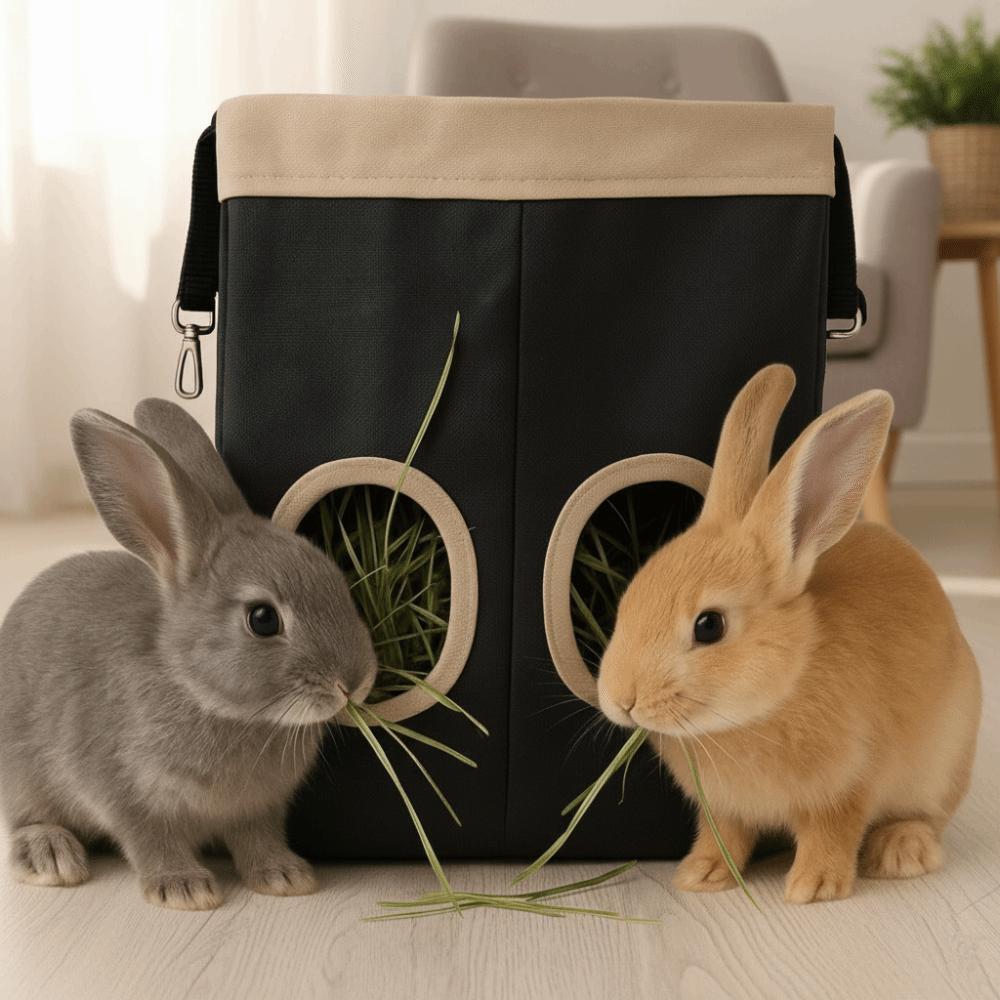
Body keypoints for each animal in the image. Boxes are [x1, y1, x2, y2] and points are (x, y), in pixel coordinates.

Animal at [0, 399, 377, 910]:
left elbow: (259, 839)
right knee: (27, 818)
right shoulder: (124, 794)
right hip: (20, 775)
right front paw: (184, 889)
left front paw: (285, 877)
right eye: (263, 619)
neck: (199, 691)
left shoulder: (257, 809)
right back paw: (51, 857)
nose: (355, 680)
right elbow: (149, 840)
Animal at [597, 365, 981, 904]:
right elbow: (724, 837)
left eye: (709, 625)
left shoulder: (847, 788)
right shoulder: (724, 810)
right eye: (629, 596)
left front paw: (812, 887)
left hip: (943, 761)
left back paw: (901, 852)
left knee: (928, 817)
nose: (621, 699)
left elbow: (831, 835)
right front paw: (700, 876)